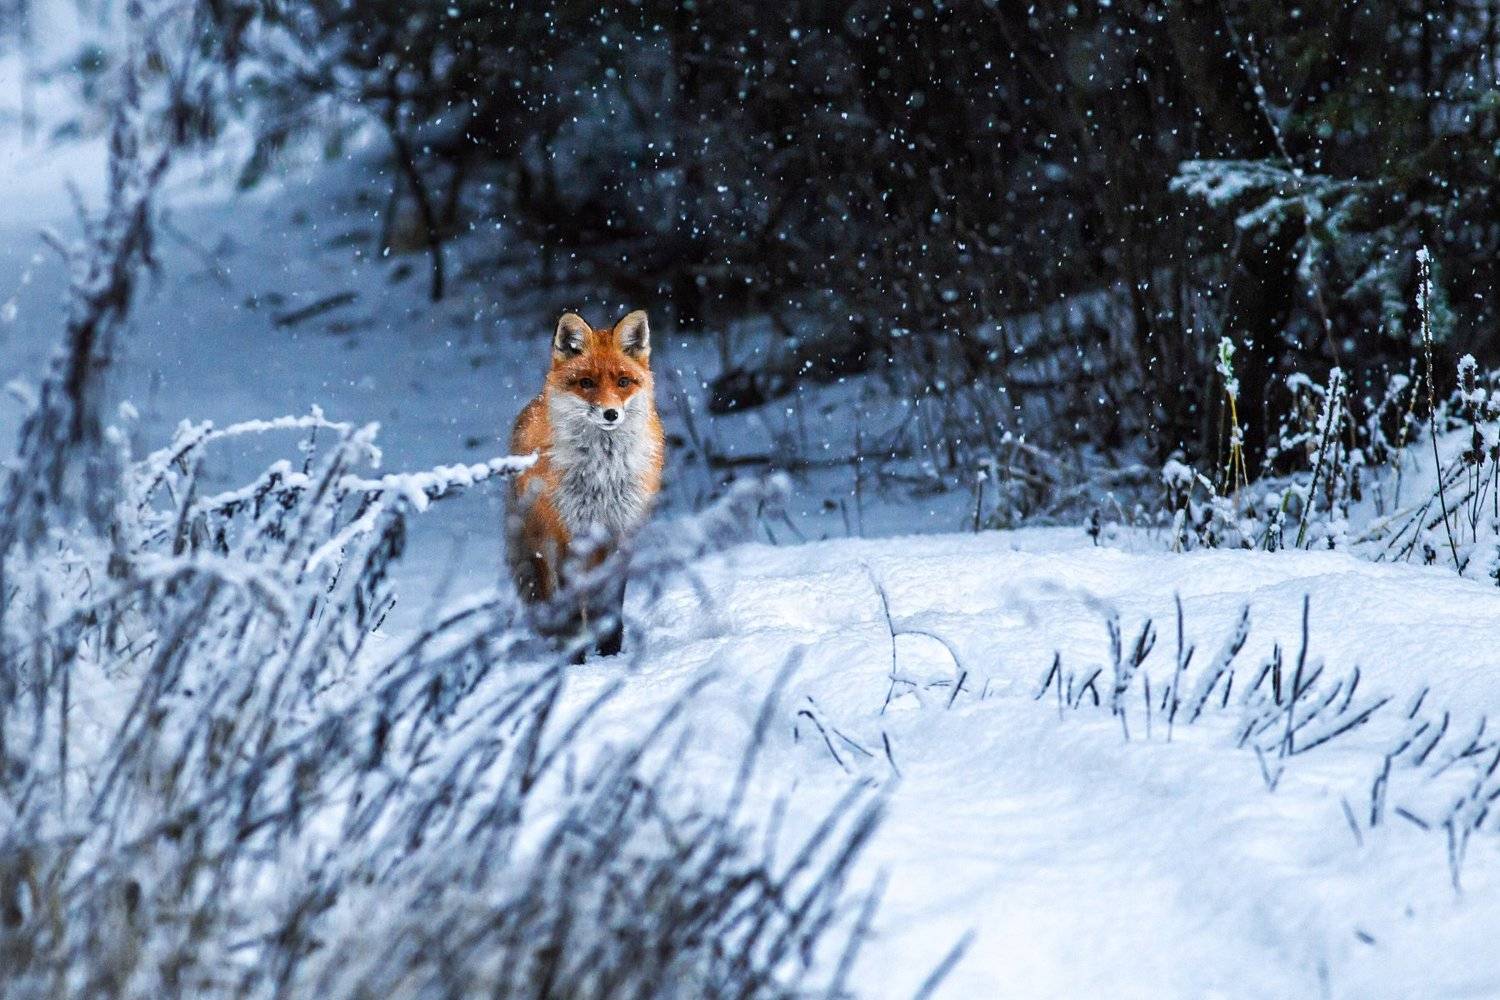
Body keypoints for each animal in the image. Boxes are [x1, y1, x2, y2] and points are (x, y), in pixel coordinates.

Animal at [506, 309, 664, 656]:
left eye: (623, 382)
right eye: (586, 383)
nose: (610, 414)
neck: (602, 474)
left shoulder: (620, 532)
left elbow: (611, 603)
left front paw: (610, 652)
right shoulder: (566, 535)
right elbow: (570, 609)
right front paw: (574, 658)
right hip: (540, 543)